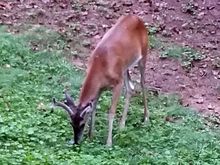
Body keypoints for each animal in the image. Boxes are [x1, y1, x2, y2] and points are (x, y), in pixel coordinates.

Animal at [52, 14, 150, 147]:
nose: (76, 141)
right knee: (130, 88)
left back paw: (146, 118)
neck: (100, 66)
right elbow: (93, 108)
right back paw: (122, 125)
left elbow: (111, 111)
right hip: (124, 67)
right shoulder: (99, 88)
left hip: (143, 54)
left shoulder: (117, 83)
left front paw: (108, 143)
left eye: (82, 123)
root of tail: (137, 18)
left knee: (143, 84)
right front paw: (91, 136)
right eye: (71, 123)